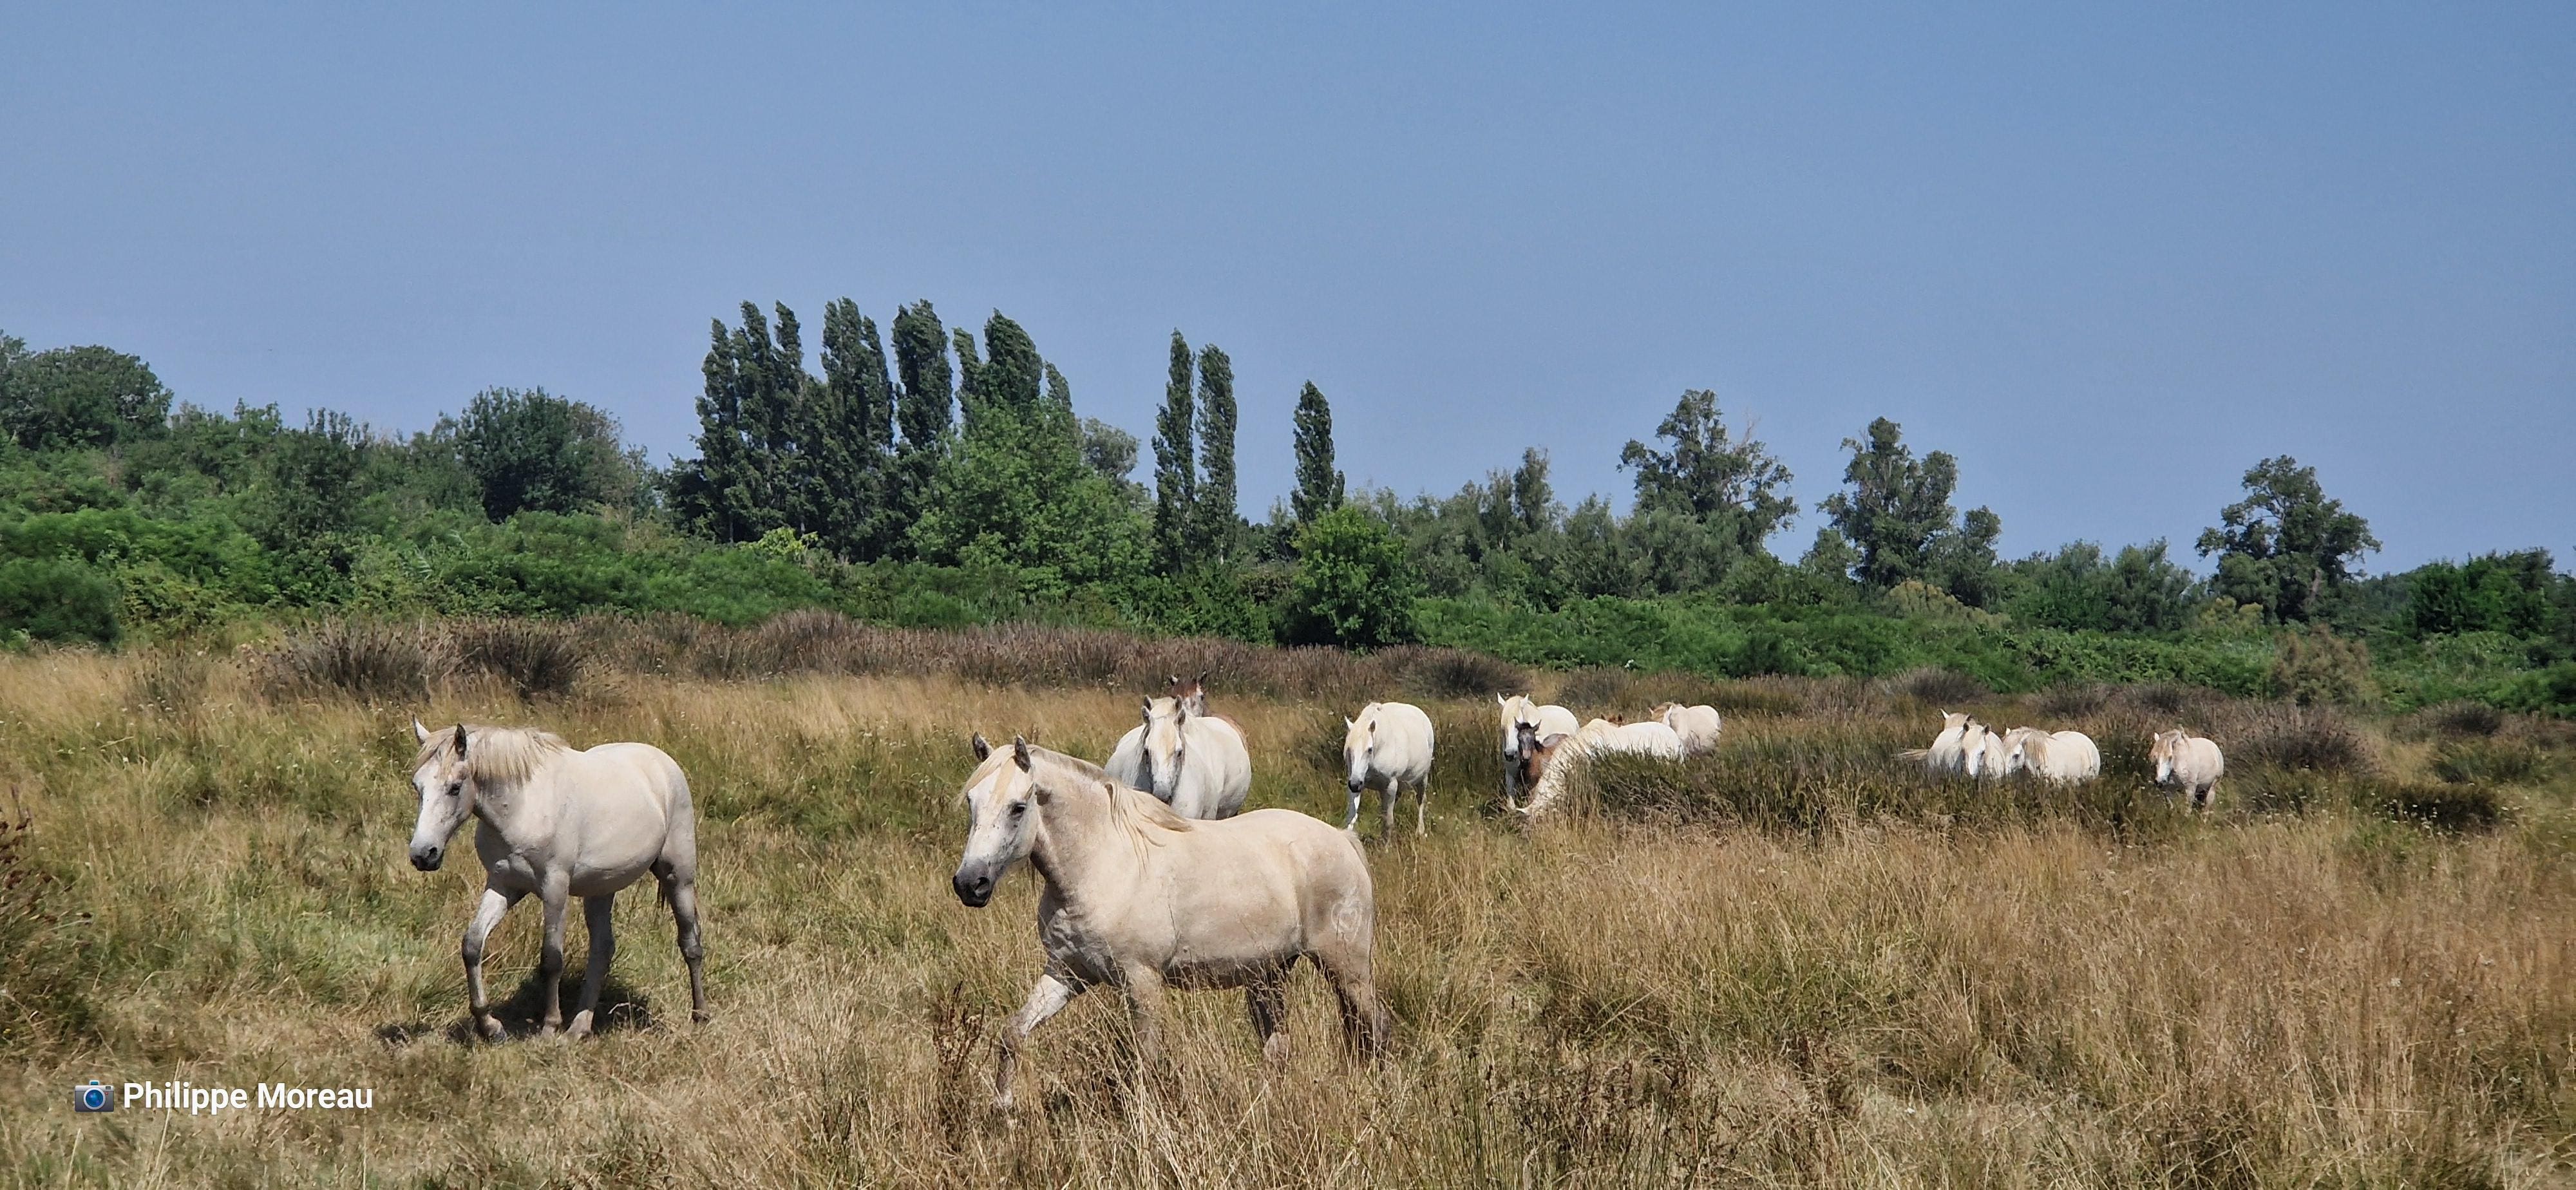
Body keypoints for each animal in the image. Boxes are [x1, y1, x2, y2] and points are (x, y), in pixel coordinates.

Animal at [405, 721, 708, 1040]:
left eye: (454, 788)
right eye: (417, 786)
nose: (423, 854)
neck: (522, 807)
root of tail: (662, 762)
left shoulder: (555, 888)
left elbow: (552, 958)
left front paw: (549, 1026)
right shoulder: (503, 885)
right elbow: (472, 945)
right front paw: (491, 1026)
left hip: (679, 877)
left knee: (690, 942)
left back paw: (700, 1014)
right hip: (601, 890)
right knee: (602, 949)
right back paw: (579, 1028)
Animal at [952, 735, 1388, 1110]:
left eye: (1017, 807)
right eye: (972, 801)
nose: (970, 884)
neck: (1103, 863)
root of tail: (1342, 840)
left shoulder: (1142, 982)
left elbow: (1145, 1060)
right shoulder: (1066, 975)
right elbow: (1013, 1034)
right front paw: (1003, 1107)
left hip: (1347, 970)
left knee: (1374, 1029)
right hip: (1269, 976)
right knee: (1278, 1045)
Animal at [1342, 701, 1436, 838]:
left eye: (1370, 749)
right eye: (1349, 749)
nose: (1355, 784)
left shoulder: (1391, 785)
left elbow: (1388, 822)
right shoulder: (1356, 782)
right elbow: (1351, 818)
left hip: (1422, 778)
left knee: (1421, 800)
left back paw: (1420, 831)